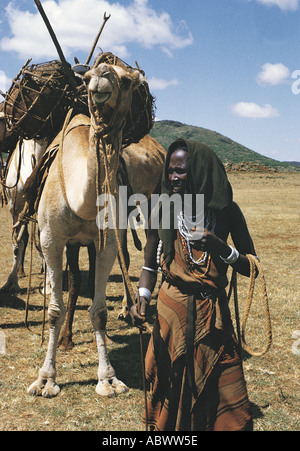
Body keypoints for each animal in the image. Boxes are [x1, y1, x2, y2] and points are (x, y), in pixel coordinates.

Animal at [27, 61, 147, 400]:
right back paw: (65, 339)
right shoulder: (51, 239)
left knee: (87, 279)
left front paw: (107, 378)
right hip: (67, 241)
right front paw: (46, 379)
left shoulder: (107, 243)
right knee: (73, 281)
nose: (102, 77)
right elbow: (54, 309)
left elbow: (99, 311)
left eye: (127, 81)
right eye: (91, 74)